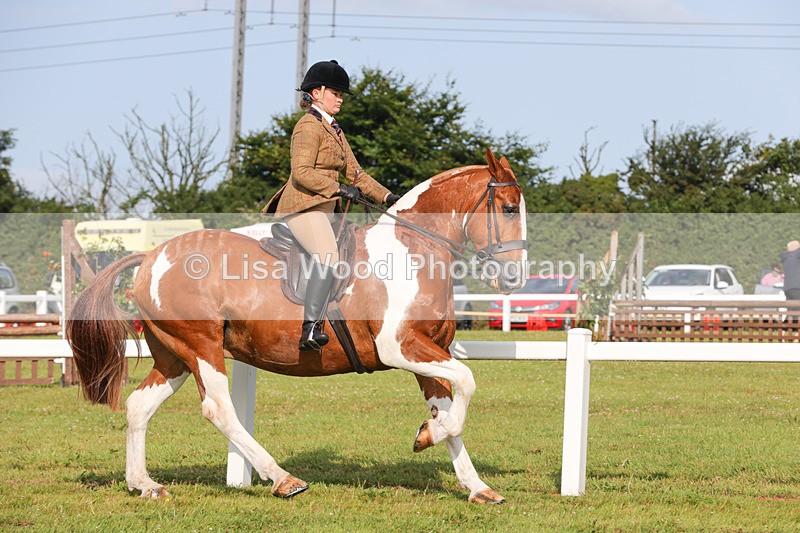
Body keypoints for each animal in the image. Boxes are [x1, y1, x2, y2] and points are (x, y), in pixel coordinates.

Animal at [66, 148, 528, 504]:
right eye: (508, 209)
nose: (514, 280)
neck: (414, 251)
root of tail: (151, 256)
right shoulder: (400, 346)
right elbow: (466, 383)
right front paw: (426, 436)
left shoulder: (428, 352)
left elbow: (451, 407)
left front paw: (475, 484)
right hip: (201, 347)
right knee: (218, 409)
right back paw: (283, 479)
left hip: (174, 355)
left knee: (139, 406)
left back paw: (144, 484)